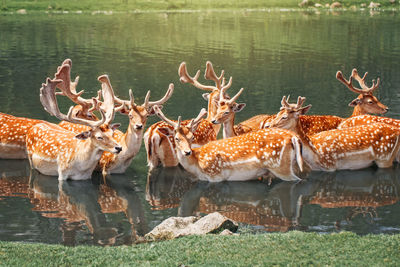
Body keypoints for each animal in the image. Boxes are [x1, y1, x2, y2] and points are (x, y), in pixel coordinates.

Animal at [152, 105, 306, 183]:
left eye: (192, 137)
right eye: (177, 138)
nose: (187, 152)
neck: (197, 165)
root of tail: (293, 137)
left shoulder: (215, 176)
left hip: (280, 167)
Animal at [266, 96, 400, 172]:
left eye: (284, 117)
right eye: (277, 114)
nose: (268, 126)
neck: (315, 154)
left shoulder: (330, 167)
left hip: (385, 158)